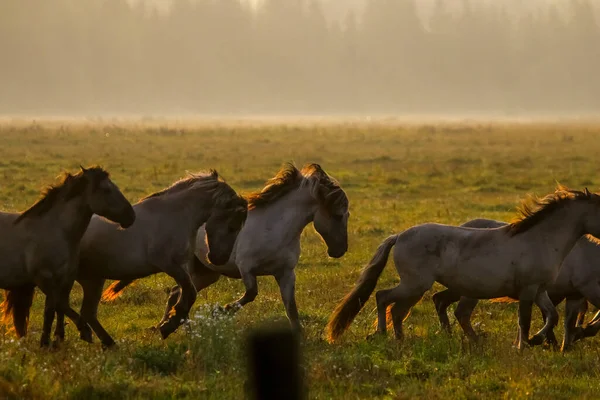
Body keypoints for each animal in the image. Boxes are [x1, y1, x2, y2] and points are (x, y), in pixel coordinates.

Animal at [0, 166, 134, 346]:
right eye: (106, 190)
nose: (131, 216)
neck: (56, 231)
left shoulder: (66, 279)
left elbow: (59, 308)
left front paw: (58, 339)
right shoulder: (44, 279)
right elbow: (53, 308)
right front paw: (51, 341)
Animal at [54, 170, 246, 346]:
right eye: (232, 226)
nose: (219, 259)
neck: (176, 215)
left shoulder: (183, 266)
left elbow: (185, 295)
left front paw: (171, 323)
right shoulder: (169, 264)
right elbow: (189, 294)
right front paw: (168, 325)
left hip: (92, 279)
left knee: (81, 311)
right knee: (70, 307)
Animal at [101, 162, 350, 332]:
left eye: (346, 215)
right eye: (338, 215)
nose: (339, 251)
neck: (276, 229)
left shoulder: (286, 273)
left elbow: (292, 308)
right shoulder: (246, 268)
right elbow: (251, 293)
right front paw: (223, 310)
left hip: (207, 274)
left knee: (176, 292)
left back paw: (174, 325)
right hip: (190, 268)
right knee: (178, 293)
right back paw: (172, 326)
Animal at [326, 188, 600, 350]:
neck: (540, 239)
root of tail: (400, 235)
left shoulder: (541, 290)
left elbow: (552, 317)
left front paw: (536, 340)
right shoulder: (528, 290)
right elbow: (525, 320)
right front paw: (523, 345)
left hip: (421, 288)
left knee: (398, 309)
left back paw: (402, 339)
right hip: (416, 285)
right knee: (384, 298)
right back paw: (383, 334)